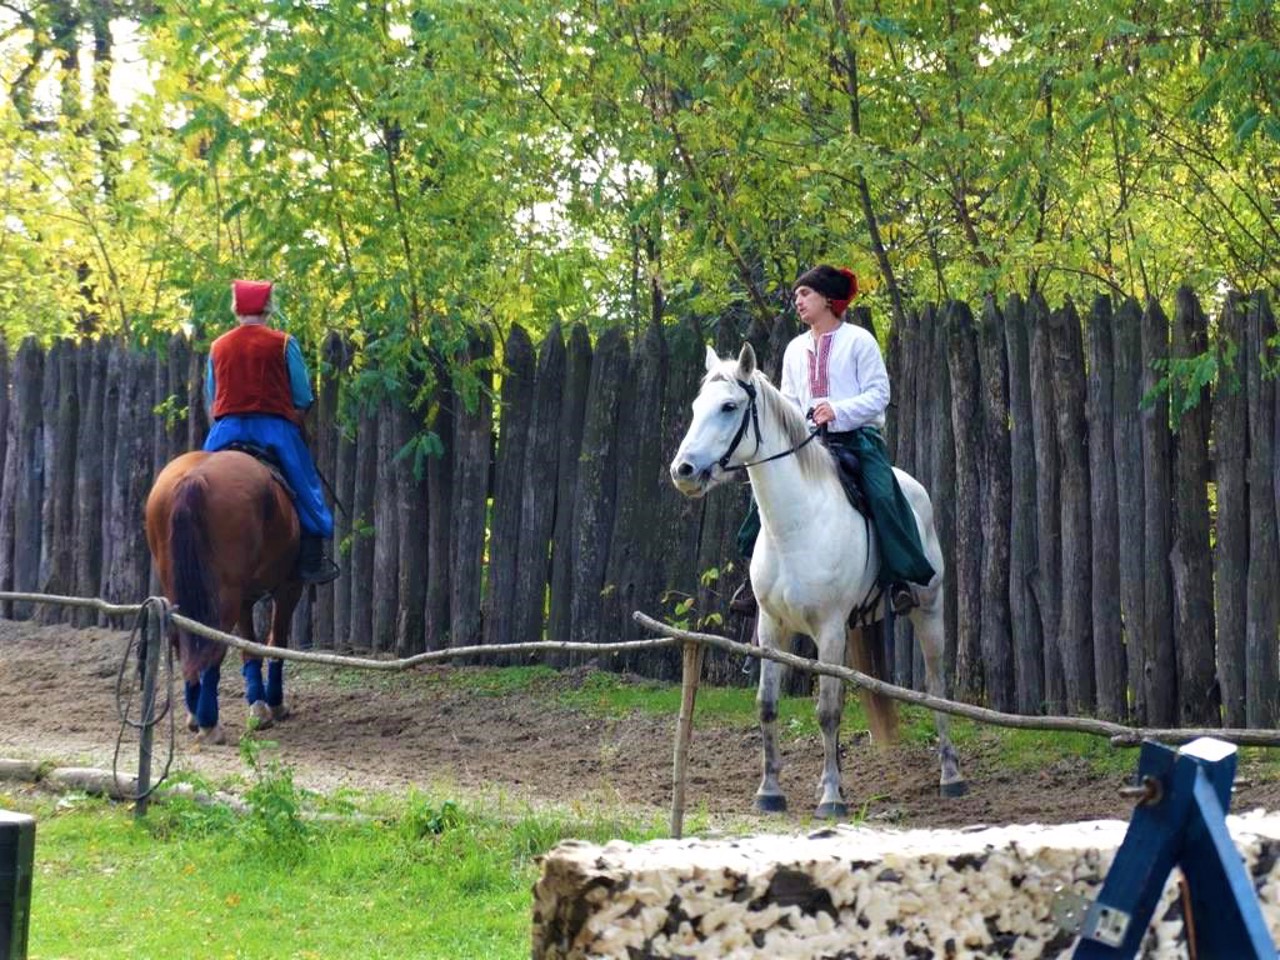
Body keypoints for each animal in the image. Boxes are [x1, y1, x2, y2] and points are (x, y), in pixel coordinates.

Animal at [145, 450, 304, 742]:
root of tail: (195, 477)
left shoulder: (246, 598)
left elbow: (249, 645)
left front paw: (258, 706)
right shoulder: (289, 587)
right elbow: (277, 641)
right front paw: (274, 705)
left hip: (178, 584)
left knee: (183, 636)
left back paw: (195, 713)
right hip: (227, 593)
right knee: (214, 643)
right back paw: (210, 724)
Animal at [670, 343, 962, 814]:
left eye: (729, 406)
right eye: (697, 407)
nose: (684, 471)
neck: (795, 525)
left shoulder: (828, 630)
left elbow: (827, 711)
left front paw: (830, 798)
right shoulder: (772, 629)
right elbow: (768, 705)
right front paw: (771, 791)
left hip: (927, 613)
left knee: (936, 687)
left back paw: (950, 775)